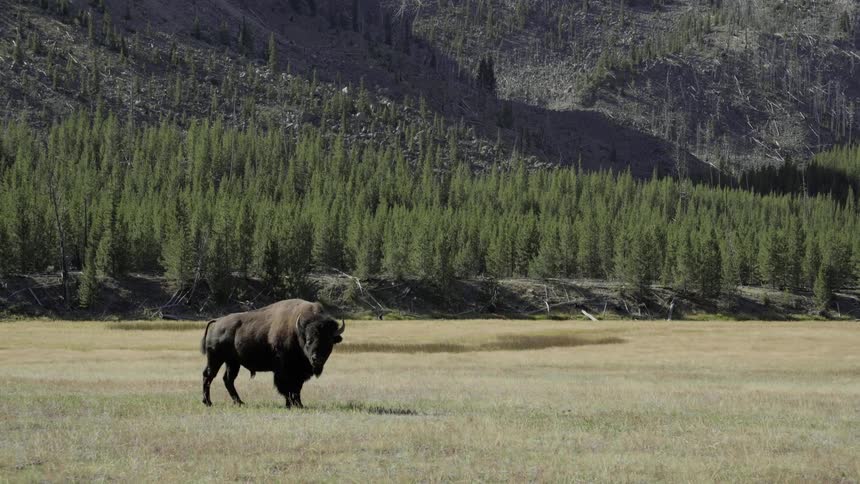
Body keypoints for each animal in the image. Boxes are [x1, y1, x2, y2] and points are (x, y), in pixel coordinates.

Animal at [200, 299, 345, 408]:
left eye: (329, 342)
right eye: (309, 340)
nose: (317, 359)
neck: (297, 332)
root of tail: (217, 322)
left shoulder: (299, 372)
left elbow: (297, 388)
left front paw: (299, 404)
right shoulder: (284, 370)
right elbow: (286, 387)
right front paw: (290, 404)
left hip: (233, 363)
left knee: (228, 379)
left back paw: (239, 402)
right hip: (215, 359)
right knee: (208, 376)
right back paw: (208, 402)